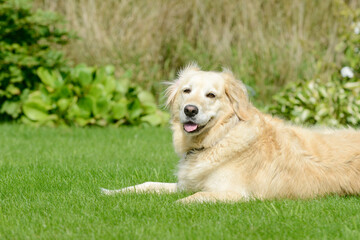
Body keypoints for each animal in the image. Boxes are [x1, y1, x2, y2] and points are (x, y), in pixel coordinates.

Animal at [100, 63, 360, 202]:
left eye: (211, 95)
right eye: (186, 91)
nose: (190, 110)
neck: (217, 139)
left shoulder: (234, 194)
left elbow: (188, 199)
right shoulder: (186, 184)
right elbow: (146, 185)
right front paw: (110, 191)